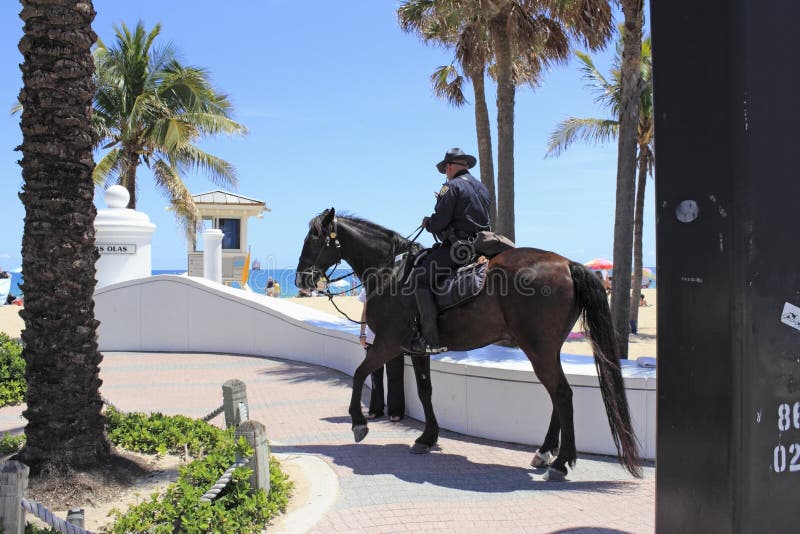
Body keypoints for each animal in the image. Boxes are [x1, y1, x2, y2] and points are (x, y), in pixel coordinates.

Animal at [296, 209, 644, 482]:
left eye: (313, 238)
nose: (300, 279)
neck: (390, 274)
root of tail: (567, 264)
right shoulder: (416, 349)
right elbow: (424, 391)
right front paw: (427, 437)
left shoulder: (388, 344)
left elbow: (359, 374)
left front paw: (358, 422)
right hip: (546, 350)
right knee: (558, 395)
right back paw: (545, 453)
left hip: (538, 349)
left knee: (561, 394)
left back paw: (559, 463)